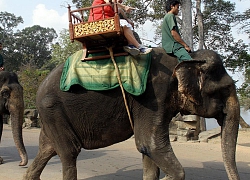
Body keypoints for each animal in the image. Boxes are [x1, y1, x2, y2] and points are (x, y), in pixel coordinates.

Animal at [23, 48, 240, 180]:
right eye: (224, 90)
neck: (188, 56)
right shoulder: (153, 97)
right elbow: (149, 144)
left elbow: (148, 150)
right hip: (52, 109)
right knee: (69, 152)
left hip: (52, 115)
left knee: (47, 149)